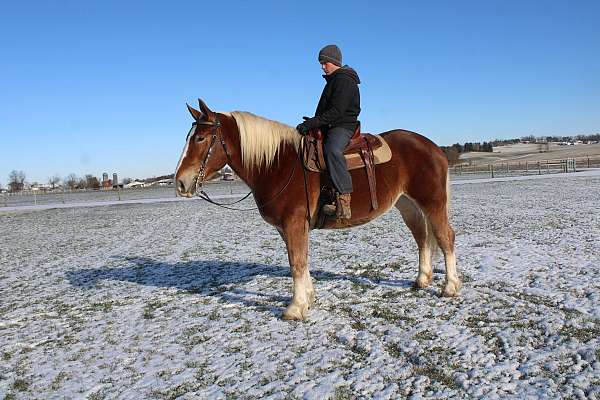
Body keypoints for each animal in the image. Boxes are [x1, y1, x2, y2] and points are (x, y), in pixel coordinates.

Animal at [173, 100, 460, 322]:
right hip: (407, 205)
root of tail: (433, 147)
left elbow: (296, 262)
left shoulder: (293, 223)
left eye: (200, 138)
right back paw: (422, 280)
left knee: (445, 238)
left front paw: (295, 308)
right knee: (422, 239)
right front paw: (308, 298)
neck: (276, 164)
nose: (180, 183)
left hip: (432, 203)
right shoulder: (288, 228)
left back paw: (450, 287)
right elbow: (302, 260)